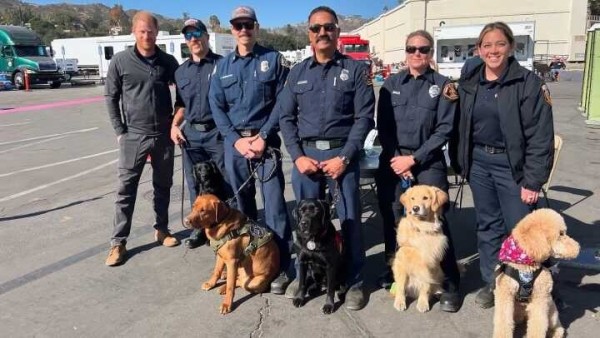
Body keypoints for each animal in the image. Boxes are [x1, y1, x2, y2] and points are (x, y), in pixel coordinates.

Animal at [492, 209, 580, 338]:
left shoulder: (540, 298)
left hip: (551, 309)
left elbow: (538, 325)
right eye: (561, 234)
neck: (524, 264)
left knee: (555, 324)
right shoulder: (504, 295)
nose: (578, 248)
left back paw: (555, 332)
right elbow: (503, 322)